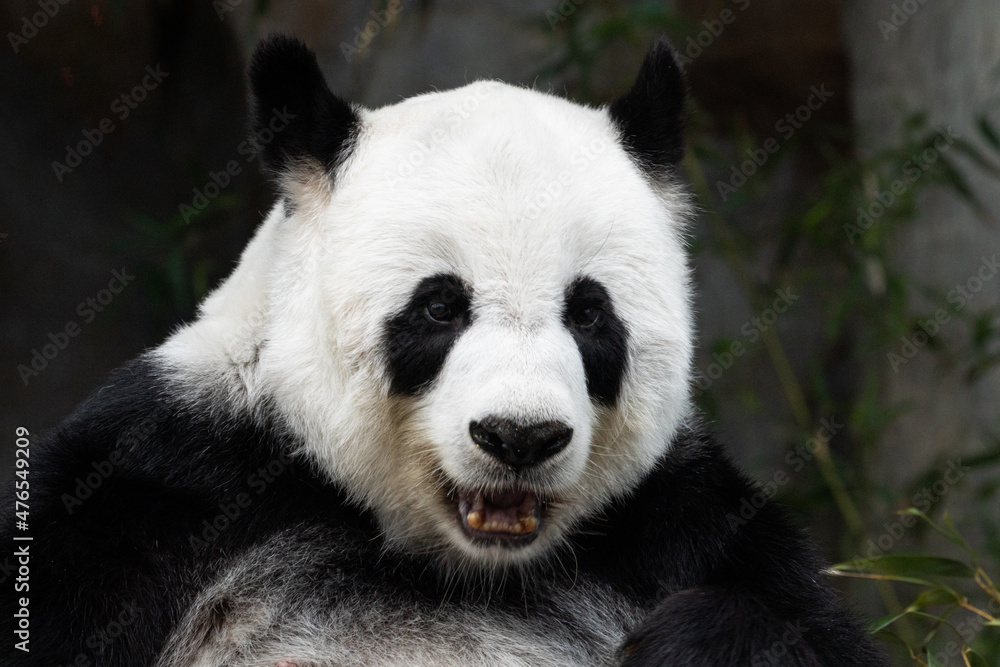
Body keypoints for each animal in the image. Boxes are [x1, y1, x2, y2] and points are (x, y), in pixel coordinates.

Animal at [1, 36, 884, 667]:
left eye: (589, 313)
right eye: (439, 306)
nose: (520, 437)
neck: (453, 558)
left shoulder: (680, 514)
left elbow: (815, 629)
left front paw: (692, 641)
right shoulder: (163, 482)